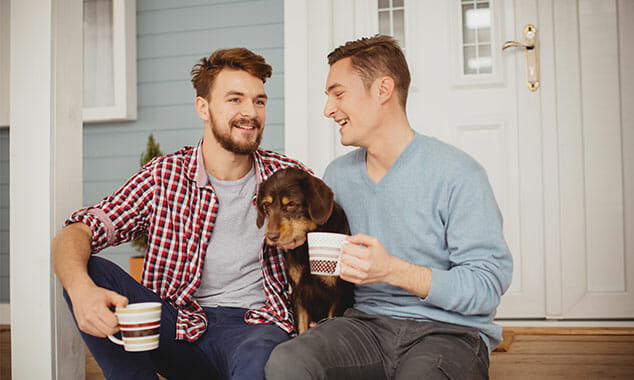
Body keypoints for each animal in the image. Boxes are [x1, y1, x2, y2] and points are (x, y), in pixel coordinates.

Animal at [254, 168, 354, 334]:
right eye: (266, 205)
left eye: (291, 204)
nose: (271, 236)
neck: (308, 240)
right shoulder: (298, 293)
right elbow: (301, 328)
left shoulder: (338, 295)